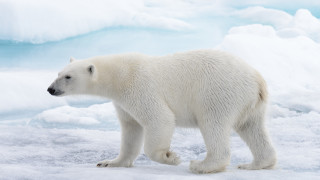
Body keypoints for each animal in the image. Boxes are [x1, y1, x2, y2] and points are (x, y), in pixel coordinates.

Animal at [47, 49, 276, 173]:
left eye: (67, 77)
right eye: (58, 73)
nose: (50, 89)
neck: (119, 75)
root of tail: (257, 78)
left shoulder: (139, 87)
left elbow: (159, 119)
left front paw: (170, 157)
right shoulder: (122, 102)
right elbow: (130, 130)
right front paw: (109, 162)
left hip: (218, 92)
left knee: (213, 123)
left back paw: (202, 165)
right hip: (251, 103)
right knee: (252, 128)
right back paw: (256, 164)